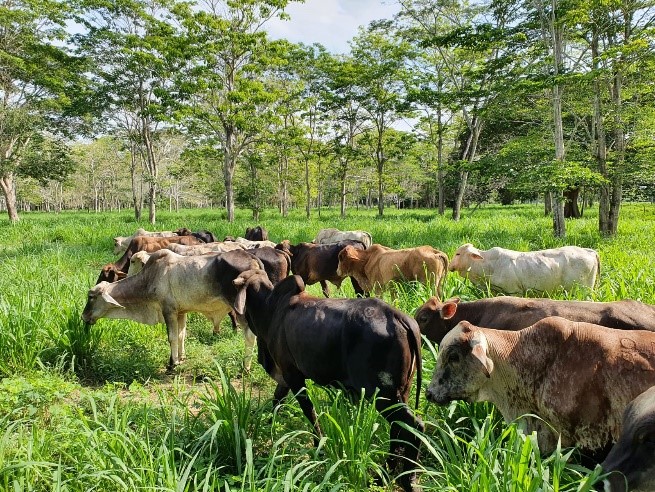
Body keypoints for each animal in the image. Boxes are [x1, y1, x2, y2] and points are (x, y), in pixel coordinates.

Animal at [84, 250, 264, 368]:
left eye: (91, 297)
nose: (84, 316)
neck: (149, 278)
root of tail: (252, 258)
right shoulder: (181, 312)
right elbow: (181, 335)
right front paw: (181, 357)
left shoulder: (168, 311)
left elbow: (172, 337)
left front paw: (172, 363)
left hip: (241, 310)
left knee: (250, 336)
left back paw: (245, 367)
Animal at [231, 270, 426, 490]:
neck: (271, 309)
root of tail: (398, 317)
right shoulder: (285, 376)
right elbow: (277, 400)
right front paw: (270, 426)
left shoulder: (292, 374)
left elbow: (309, 412)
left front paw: (319, 445)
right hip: (401, 392)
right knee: (399, 427)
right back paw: (386, 474)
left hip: (384, 394)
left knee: (414, 425)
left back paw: (407, 479)